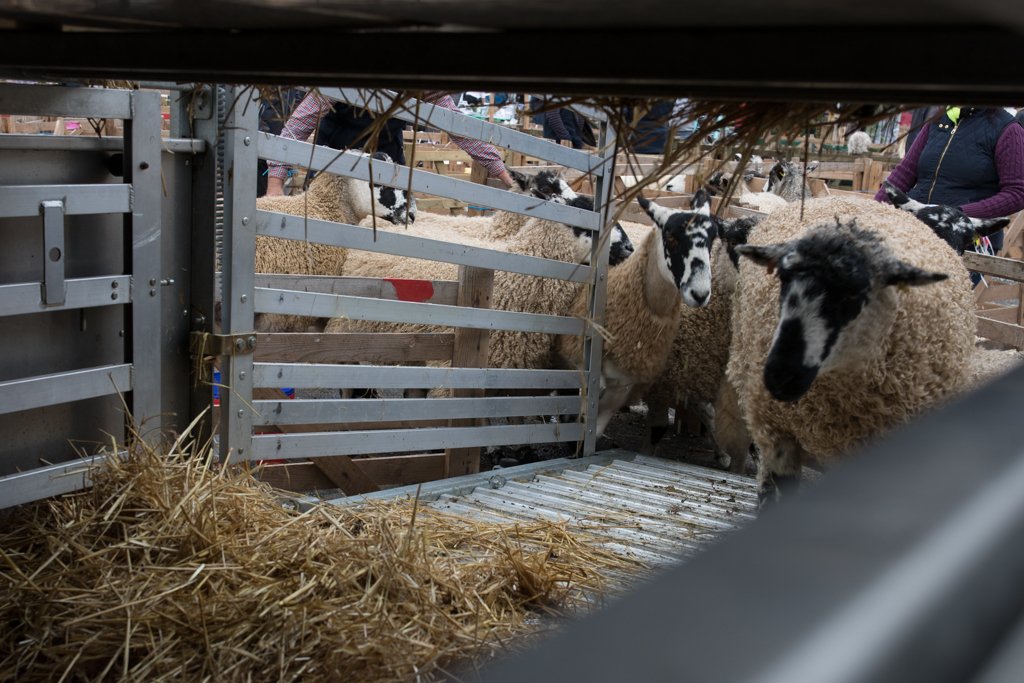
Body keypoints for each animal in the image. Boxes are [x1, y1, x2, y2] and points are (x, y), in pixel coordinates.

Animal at [554, 191, 720, 438]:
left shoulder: (622, 386)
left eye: (713, 239)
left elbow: (594, 430)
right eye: (670, 236)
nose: (700, 294)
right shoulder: (579, 369)